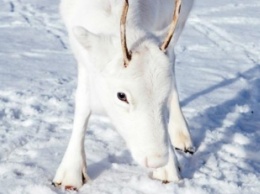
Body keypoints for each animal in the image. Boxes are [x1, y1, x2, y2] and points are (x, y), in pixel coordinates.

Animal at [52, 0, 194, 189]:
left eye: (164, 92)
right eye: (121, 95)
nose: (156, 160)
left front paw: (168, 169)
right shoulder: (85, 57)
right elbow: (82, 103)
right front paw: (70, 172)